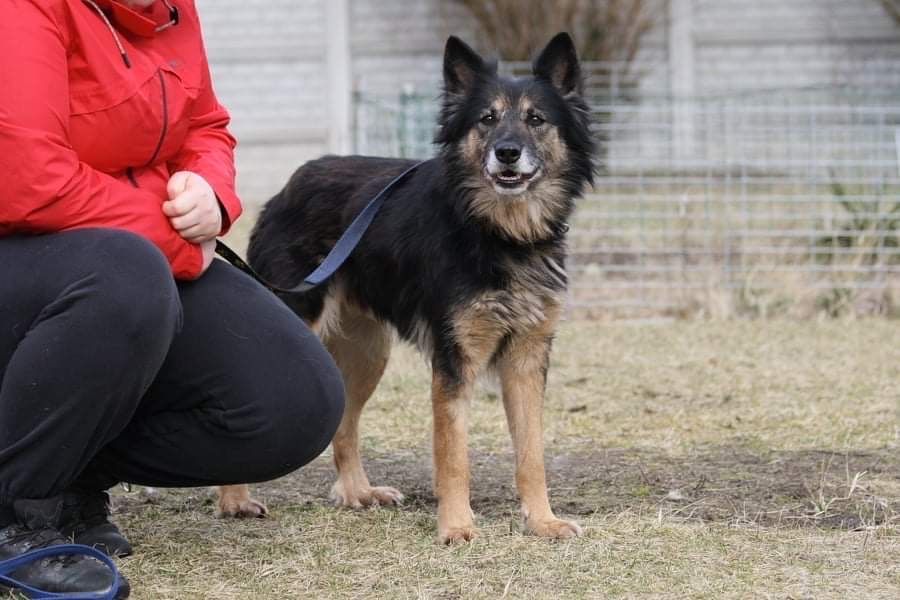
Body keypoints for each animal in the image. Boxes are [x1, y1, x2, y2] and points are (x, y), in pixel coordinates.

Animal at [217, 30, 596, 540]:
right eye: (487, 119)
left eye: (536, 119)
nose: (507, 153)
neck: (496, 233)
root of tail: (292, 184)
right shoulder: (454, 362)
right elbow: (453, 456)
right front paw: (456, 527)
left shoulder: (527, 359)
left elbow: (531, 453)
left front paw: (542, 521)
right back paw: (234, 500)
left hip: (367, 353)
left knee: (345, 425)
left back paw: (357, 492)